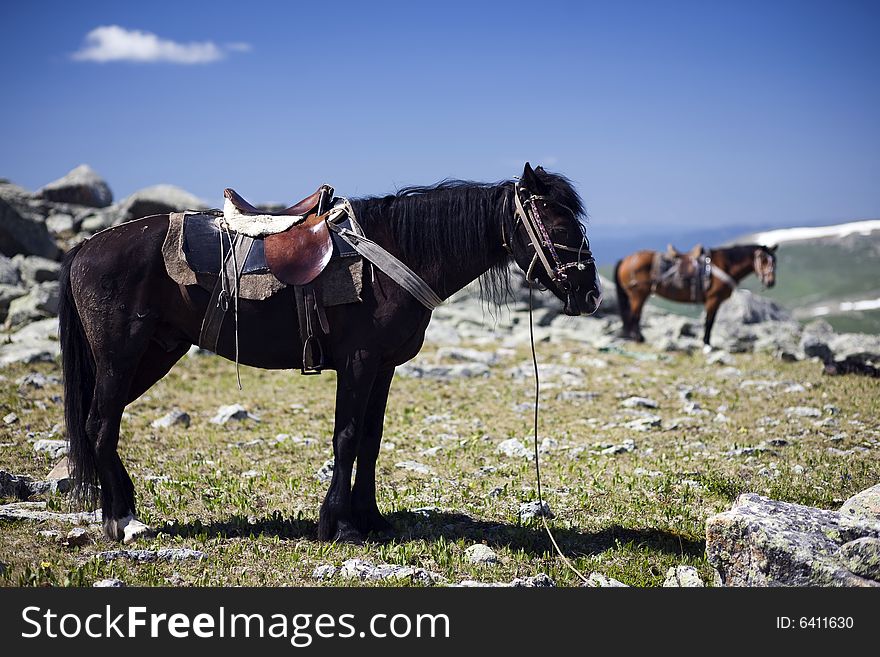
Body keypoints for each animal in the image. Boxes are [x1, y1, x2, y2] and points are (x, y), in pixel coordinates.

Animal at [58, 164, 600, 544]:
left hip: (154, 354)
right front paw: (338, 525)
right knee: (99, 425)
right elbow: (346, 437)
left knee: (100, 424)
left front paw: (370, 518)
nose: (590, 294)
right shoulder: (357, 363)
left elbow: (371, 441)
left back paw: (120, 512)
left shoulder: (383, 368)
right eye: (560, 225)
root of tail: (86, 247)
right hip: (120, 356)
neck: (393, 254)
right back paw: (124, 521)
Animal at [612, 243, 776, 346]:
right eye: (763, 260)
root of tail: (626, 259)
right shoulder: (713, 299)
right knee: (634, 316)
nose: (771, 282)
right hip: (638, 294)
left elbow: (710, 322)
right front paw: (706, 343)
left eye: (774, 261)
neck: (725, 266)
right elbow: (709, 322)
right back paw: (639, 338)